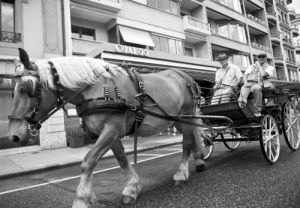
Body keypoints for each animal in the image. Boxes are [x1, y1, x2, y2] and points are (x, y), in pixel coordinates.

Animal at [8, 48, 207, 206]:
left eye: (26, 88)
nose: (13, 136)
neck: (95, 89)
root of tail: (185, 76)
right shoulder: (109, 133)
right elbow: (121, 158)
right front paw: (132, 188)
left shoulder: (112, 129)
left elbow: (88, 161)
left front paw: (81, 199)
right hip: (177, 121)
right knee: (193, 137)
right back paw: (198, 160)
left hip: (186, 116)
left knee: (187, 142)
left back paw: (181, 173)